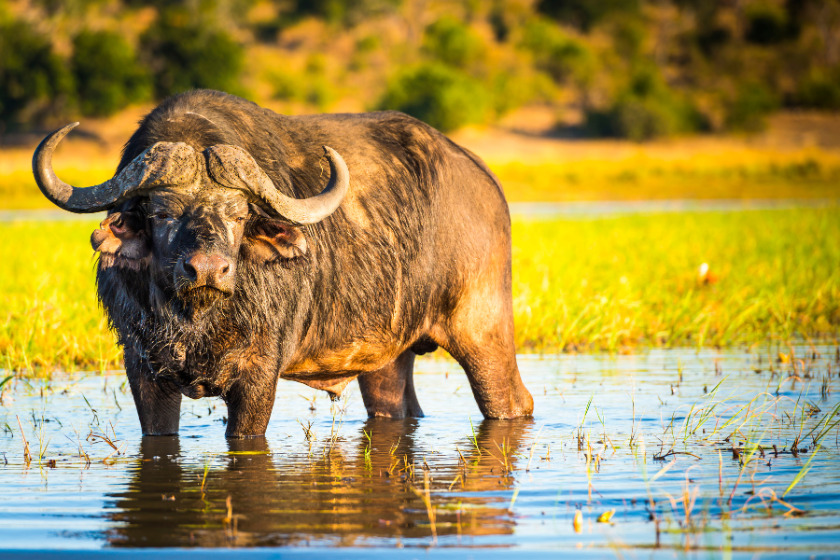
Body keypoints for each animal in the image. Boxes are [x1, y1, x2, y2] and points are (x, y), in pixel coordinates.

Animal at [32, 88, 536, 438]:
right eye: (161, 213)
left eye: (239, 215)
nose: (208, 270)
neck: (198, 320)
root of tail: (484, 181)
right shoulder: (144, 372)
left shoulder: (257, 377)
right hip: (387, 359)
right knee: (395, 406)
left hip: (483, 331)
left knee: (513, 400)